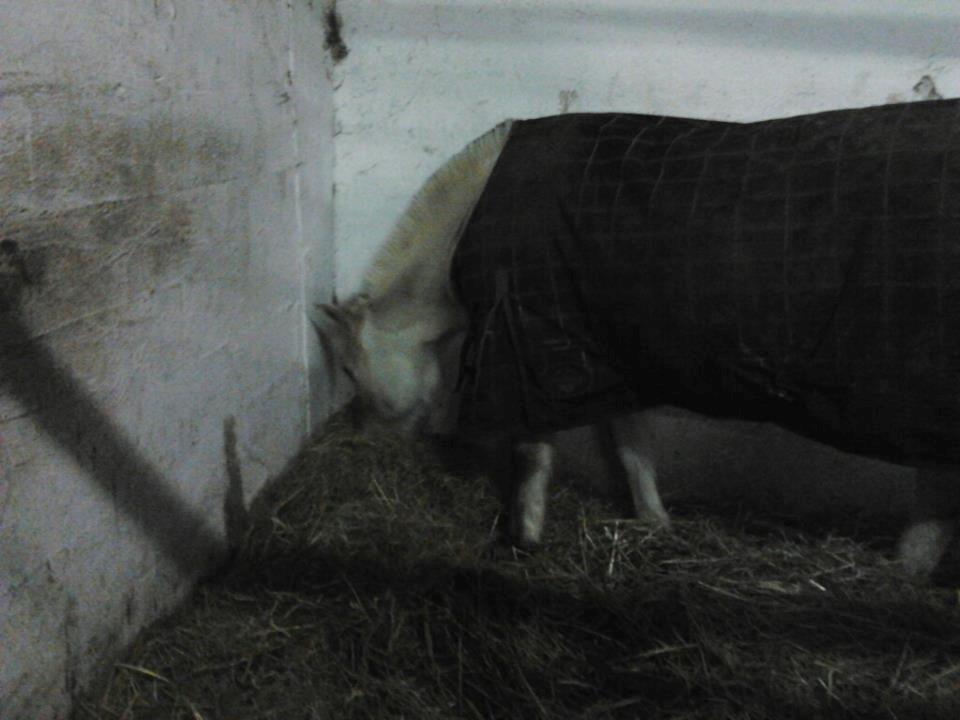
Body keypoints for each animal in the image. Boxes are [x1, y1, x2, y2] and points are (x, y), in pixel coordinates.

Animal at [316, 104, 960, 577]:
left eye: (348, 370)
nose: (360, 439)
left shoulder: (533, 343)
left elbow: (534, 452)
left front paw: (524, 537)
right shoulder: (604, 349)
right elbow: (630, 441)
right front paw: (654, 521)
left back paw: (906, 570)